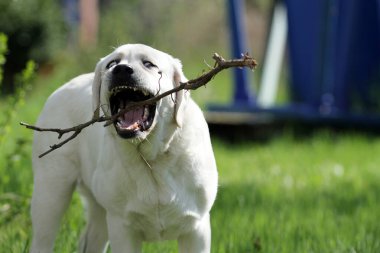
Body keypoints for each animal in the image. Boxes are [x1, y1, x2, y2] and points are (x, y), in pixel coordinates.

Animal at [30, 44, 217, 253]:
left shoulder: (196, 228)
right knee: (43, 238)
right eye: (112, 63)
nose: (121, 70)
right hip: (51, 193)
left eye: (148, 64)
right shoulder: (122, 227)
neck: (152, 159)